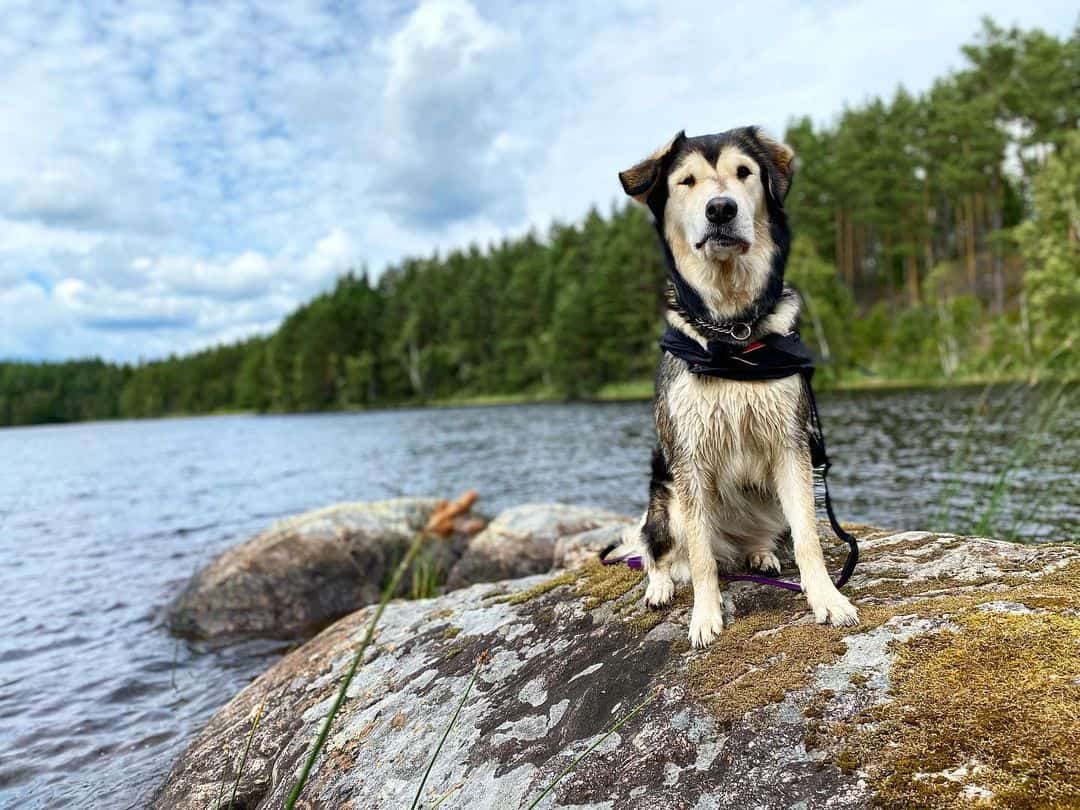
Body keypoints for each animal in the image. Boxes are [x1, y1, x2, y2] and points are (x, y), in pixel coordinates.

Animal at [613, 126, 855, 652]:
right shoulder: (689, 458)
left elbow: (809, 537)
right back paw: (661, 585)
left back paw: (759, 554)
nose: (721, 209)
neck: (733, 334)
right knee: (658, 551)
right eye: (686, 181)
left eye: (744, 172)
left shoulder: (791, 446)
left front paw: (827, 598)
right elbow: (701, 557)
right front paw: (705, 617)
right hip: (665, 500)